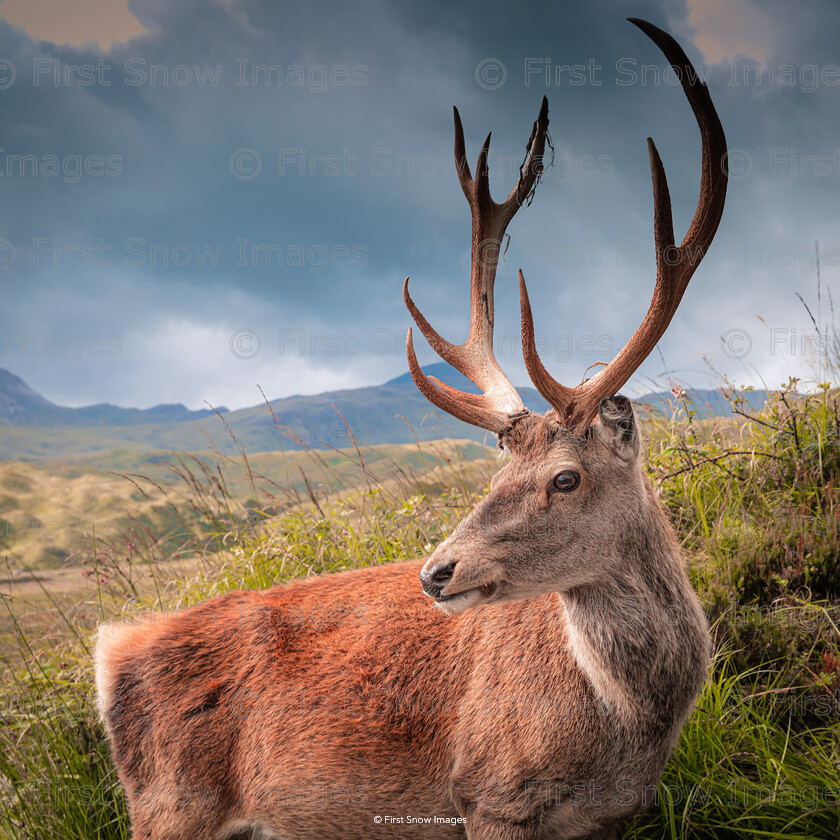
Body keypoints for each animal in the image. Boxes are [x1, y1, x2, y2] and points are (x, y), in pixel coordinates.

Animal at [93, 18, 728, 840]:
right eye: (497, 473)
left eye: (566, 477)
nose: (437, 573)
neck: (628, 730)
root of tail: (113, 652)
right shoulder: (489, 794)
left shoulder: (613, 817)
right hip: (172, 803)